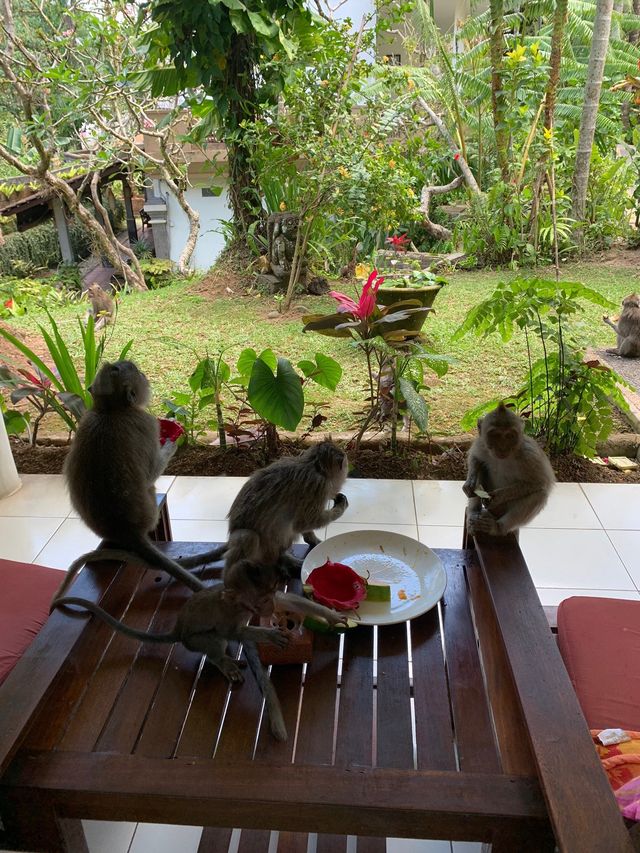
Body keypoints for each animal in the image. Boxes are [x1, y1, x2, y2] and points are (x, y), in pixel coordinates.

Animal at [52, 360, 222, 604]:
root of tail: (126, 531)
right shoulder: (146, 423)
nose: (136, 367)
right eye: (135, 372)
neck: (108, 409)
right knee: (149, 484)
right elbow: (151, 472)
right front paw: (171, 443)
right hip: (150, 511)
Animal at [53, 556, 356, 736]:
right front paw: (270, 636)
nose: (269, 607)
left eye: (270, 593)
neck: (239, 605)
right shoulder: (230, 616)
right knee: (213, 639)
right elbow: (229, 631)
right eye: (258, 602)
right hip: (194, 640)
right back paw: (222, 662)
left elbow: (289, 602)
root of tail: (178, 630)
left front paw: (331, 615)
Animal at [210, 440, 350, 580]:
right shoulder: (318, 486)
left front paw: (312, 539)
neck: (314, 465)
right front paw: (340, 507)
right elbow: (304, 522)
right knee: (249, 536)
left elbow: (302, 523)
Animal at [460, 402, 556, 536]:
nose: (502, 448)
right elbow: (476, 458)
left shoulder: (530, 454)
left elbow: (540, 482)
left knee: (540, 494)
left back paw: (498, 528)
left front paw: (498, 496)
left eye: (509, 436)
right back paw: (473, 514)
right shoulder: (481, 443)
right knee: (482, 469)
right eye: (495, 435)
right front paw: (470, 483)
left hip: (502, 511)